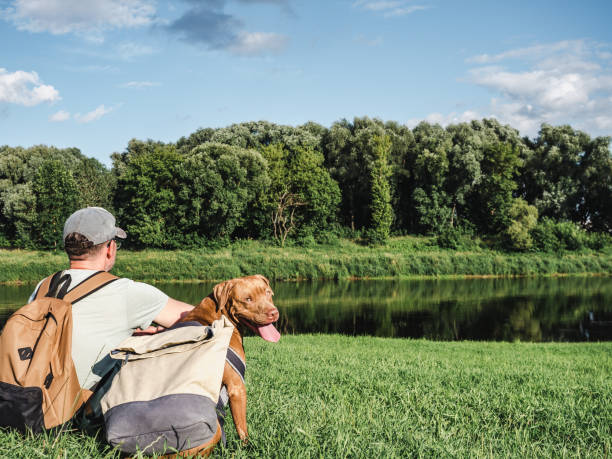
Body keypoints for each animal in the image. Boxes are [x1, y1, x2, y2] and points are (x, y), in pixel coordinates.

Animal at [179, 274, 280, 444]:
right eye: (247, 299)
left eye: (268, 293)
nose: (274, 313)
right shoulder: (236, 387)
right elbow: (242, 426)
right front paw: (247, 445)